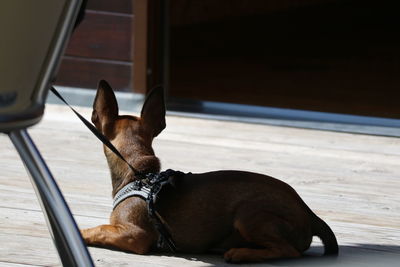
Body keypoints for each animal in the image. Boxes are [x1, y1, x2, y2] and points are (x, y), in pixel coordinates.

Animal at [81, 80, 338, 264]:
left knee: (290, 251)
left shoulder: (134, 234)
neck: (140, 174)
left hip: (247, 214)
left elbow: (99, 230)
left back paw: (241, 254)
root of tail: (309, 214)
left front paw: (82, 233)